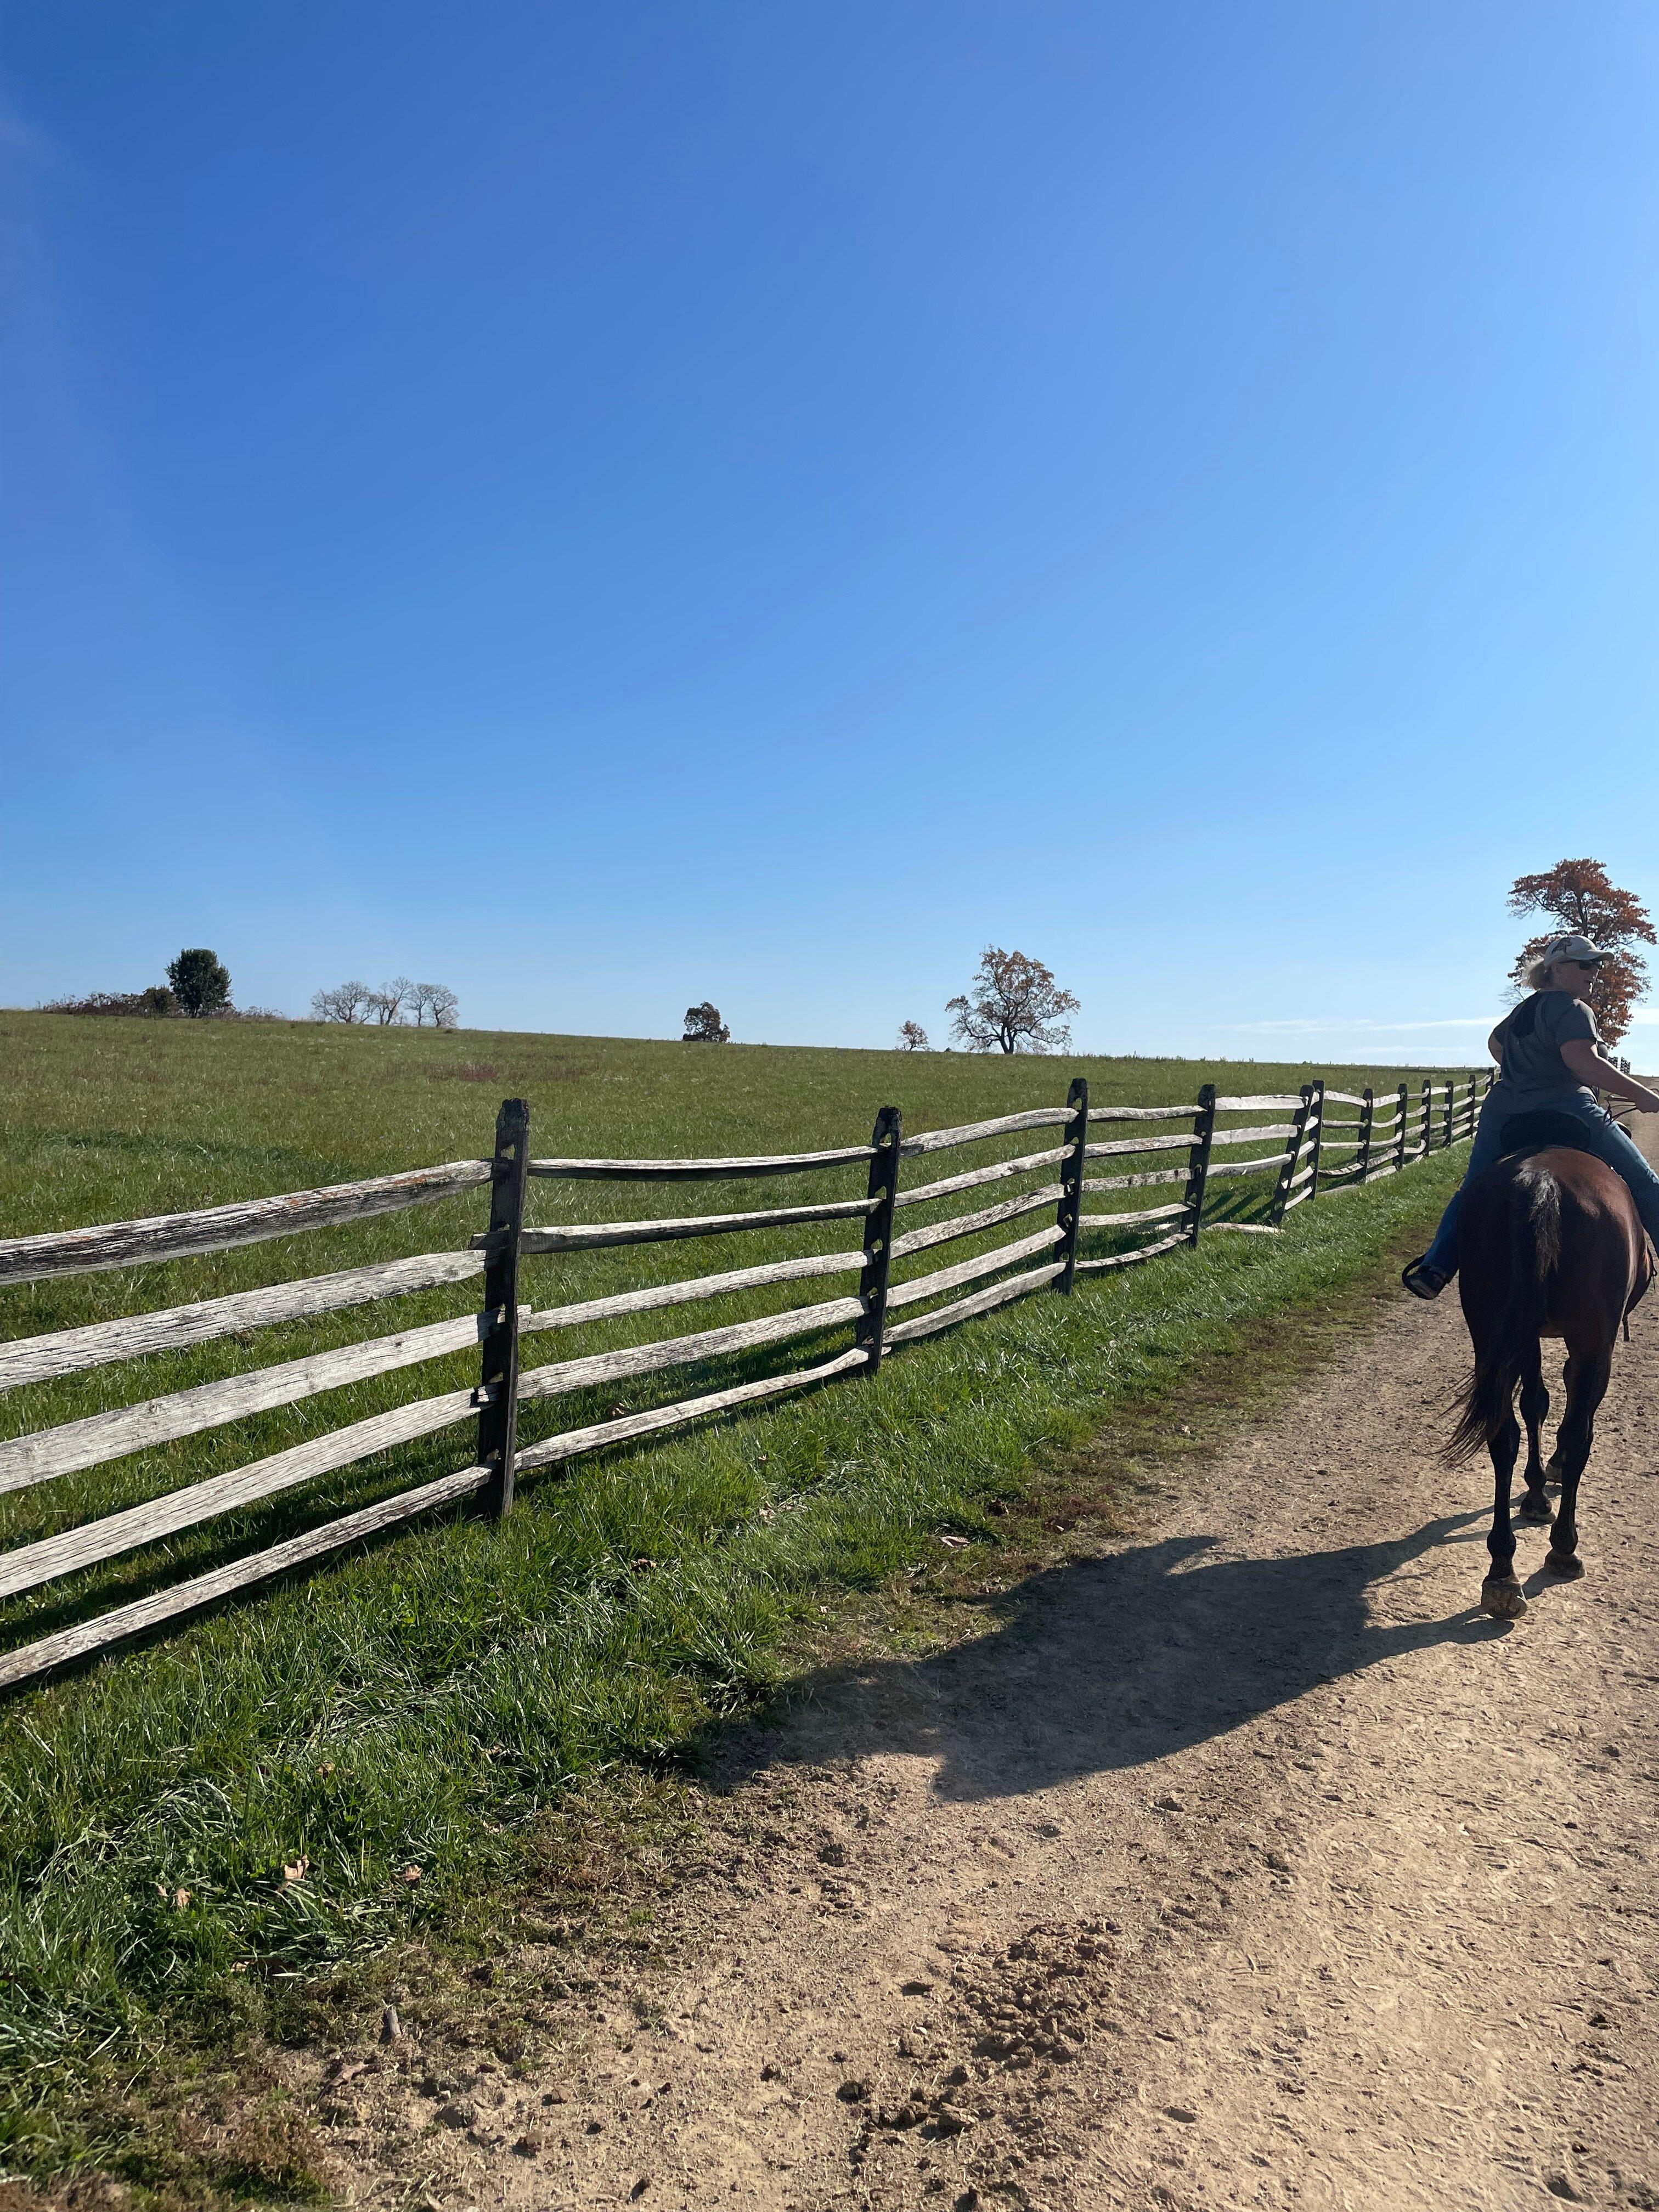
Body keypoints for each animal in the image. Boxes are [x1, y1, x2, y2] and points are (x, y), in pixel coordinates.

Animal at [1451, 1132, 1654, 1619]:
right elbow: (1569, 1418)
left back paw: (1502, 1570)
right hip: (1593, 1343)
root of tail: (1541, 1182)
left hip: (1493, 1333)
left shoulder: (1525, 1337)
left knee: (1503, 1436)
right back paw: (1563, 1548)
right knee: (1580, 1436)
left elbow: (1536, 1403)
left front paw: (1537, 1493)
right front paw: (1553, 1476)